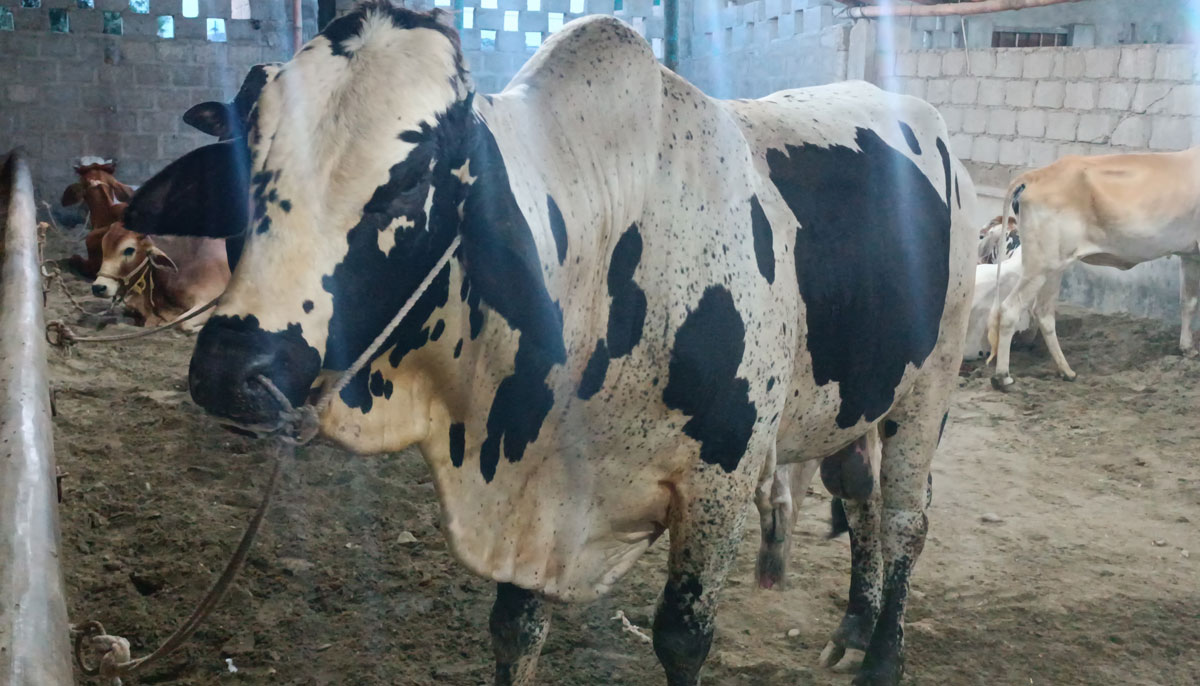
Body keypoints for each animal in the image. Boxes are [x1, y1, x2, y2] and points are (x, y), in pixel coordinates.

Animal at [124, 2, 974, 681]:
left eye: (410, 181)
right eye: (248, 167)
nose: (232, 370)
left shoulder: (720, 485)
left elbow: (683, 638)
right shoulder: (529, 500)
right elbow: (515, 628)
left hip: (930, 383)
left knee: (907, 520)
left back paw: (882, 658)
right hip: (860, 399)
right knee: (860, 500)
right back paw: (852, 628)